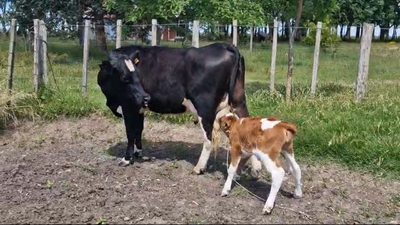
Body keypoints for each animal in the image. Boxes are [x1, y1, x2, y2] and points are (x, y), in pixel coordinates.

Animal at [95, 42, 260, 176]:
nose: (146, 96)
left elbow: (130, 132)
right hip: (237, 101)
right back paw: (255, 168)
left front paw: (126, 159)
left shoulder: (128, 106)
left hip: (205, 107)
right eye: (125, 78)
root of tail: (225, 46)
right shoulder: (139, 107)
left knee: (208, 139)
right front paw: (138, 153)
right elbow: (138, 131)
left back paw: (199, 168)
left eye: (136, 74)